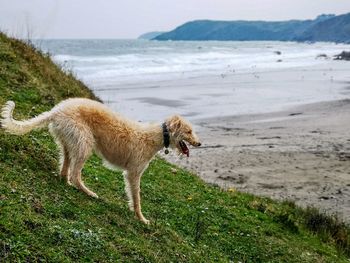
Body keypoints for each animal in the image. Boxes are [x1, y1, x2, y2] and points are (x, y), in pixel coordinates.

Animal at [0, 99, 202, 225]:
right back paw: (89, 192)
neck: (155, 136)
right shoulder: (133, 173)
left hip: (69, 141)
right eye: (189, 131)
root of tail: (56, 111)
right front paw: (141, 218)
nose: (199, 143)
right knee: (75, 174)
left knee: (66, 169)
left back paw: (67, 182)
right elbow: (136, 198)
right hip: (83, 142)